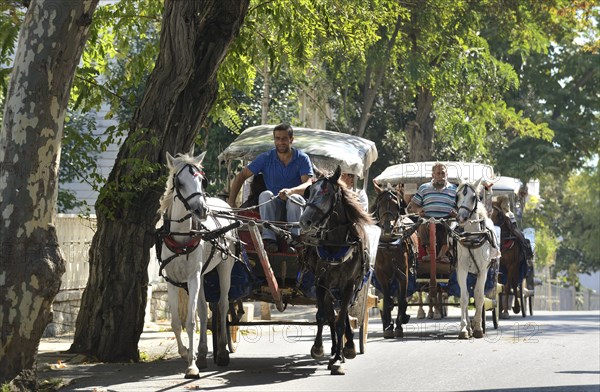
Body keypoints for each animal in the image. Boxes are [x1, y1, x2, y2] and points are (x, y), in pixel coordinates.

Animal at [158, 150, 238, 376]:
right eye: (179, 182)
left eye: (202, 180)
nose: (201, 210)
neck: (181, 237)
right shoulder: (172, 280)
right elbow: (177, 323)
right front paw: (187, 354)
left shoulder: (192, 278)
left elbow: (191, 322)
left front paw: (191, 367)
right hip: (202, 275)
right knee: (204, 311)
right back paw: (202, 354)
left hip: (225, 267)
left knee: (222, 304)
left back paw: (222, 352)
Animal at [300, 167, 376, 376]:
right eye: (309, 191)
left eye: (326, 193)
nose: (304, 221)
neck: (336, 244)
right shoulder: (321, 282)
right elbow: (322, 316)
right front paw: (318, 348)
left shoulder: (348, 285)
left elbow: (342, 320)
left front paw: (339, 358)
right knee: (331, 315)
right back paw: (336, 348)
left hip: (352, 287)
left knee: (344, 315)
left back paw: (346, 349)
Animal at [372, 185, 420, 338]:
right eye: (380, 205)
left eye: (396, 205)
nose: (387, 228)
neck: (389, 245)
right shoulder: (380, 275)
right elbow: (387, 301)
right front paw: (388, 327)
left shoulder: (403, 273)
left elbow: (402, 300)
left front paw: (400, 323)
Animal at [454, 179, 496, 338]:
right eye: (457, 196)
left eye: (474, 197)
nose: (461, 218)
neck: (472, 236)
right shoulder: (462, 269)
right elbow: (464, 298)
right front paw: (464, 329)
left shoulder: (483, 271)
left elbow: (479, 297)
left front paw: (478, 327)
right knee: (465, 293)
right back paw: (468, 325)